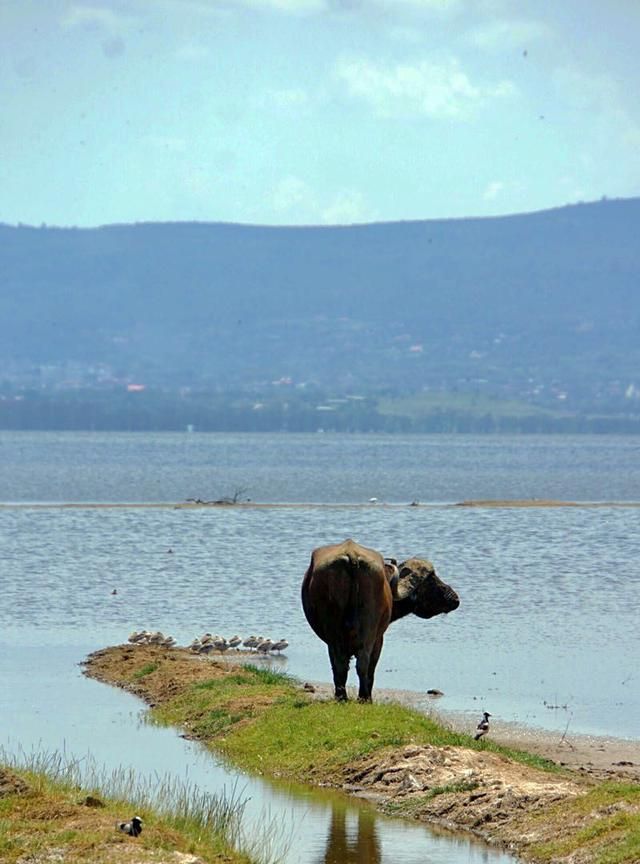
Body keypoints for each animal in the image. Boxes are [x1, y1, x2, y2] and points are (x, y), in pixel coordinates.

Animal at [302, 540, 460, 704]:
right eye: (431, 579)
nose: (455, 599)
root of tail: (352, 556)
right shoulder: (379, 640)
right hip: (368, 634)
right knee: (363, 665)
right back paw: (364, 697)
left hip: (336, 635)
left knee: (342, 665)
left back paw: (343, 697)